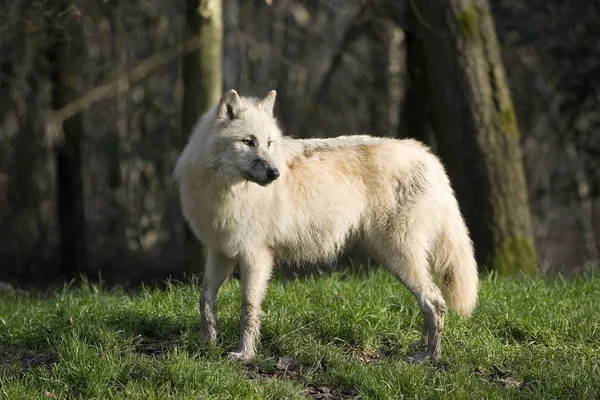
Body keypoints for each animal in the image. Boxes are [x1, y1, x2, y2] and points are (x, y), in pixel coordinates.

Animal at [175, 89, 478, 364]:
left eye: (269, 143)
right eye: (248, 141)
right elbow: (205, 299)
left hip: (398, 257)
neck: (226, 190)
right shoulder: (220, 251)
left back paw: (430, 357)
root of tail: (429, 157)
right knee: (430, 303)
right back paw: (421, 347)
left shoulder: (256, 256)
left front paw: (245, 354)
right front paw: (207, 342)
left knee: (435, 302)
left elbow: (248, 308)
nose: (275, 174)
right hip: (392, 257)